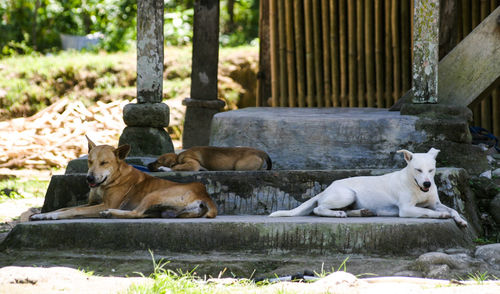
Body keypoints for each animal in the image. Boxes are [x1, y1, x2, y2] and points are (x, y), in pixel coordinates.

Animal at [30, 137, 216, 219]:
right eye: (89, 161)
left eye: (104, 163)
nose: (89, 179)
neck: (112, 179)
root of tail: (204, 194)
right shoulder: (92, 202)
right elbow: (63, 208)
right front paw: (43, 214)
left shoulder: (105, 203)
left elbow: (73, 210)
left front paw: (51, 216)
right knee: (140, 214)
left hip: (154, 194)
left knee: (136, 213)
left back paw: (110, 213)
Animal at [270, 147, 468, 227]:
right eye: (418, 169)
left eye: (431, 170)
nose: (427, 183)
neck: (415, 183)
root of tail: (327, 188)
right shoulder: (406, 209)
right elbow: (428, 212)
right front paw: (441, 216)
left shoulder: (435, 203)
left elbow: (453, 210)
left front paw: (459, 220)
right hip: (347, 194)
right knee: (318, 208)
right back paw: (337, 213)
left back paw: (361, 212)